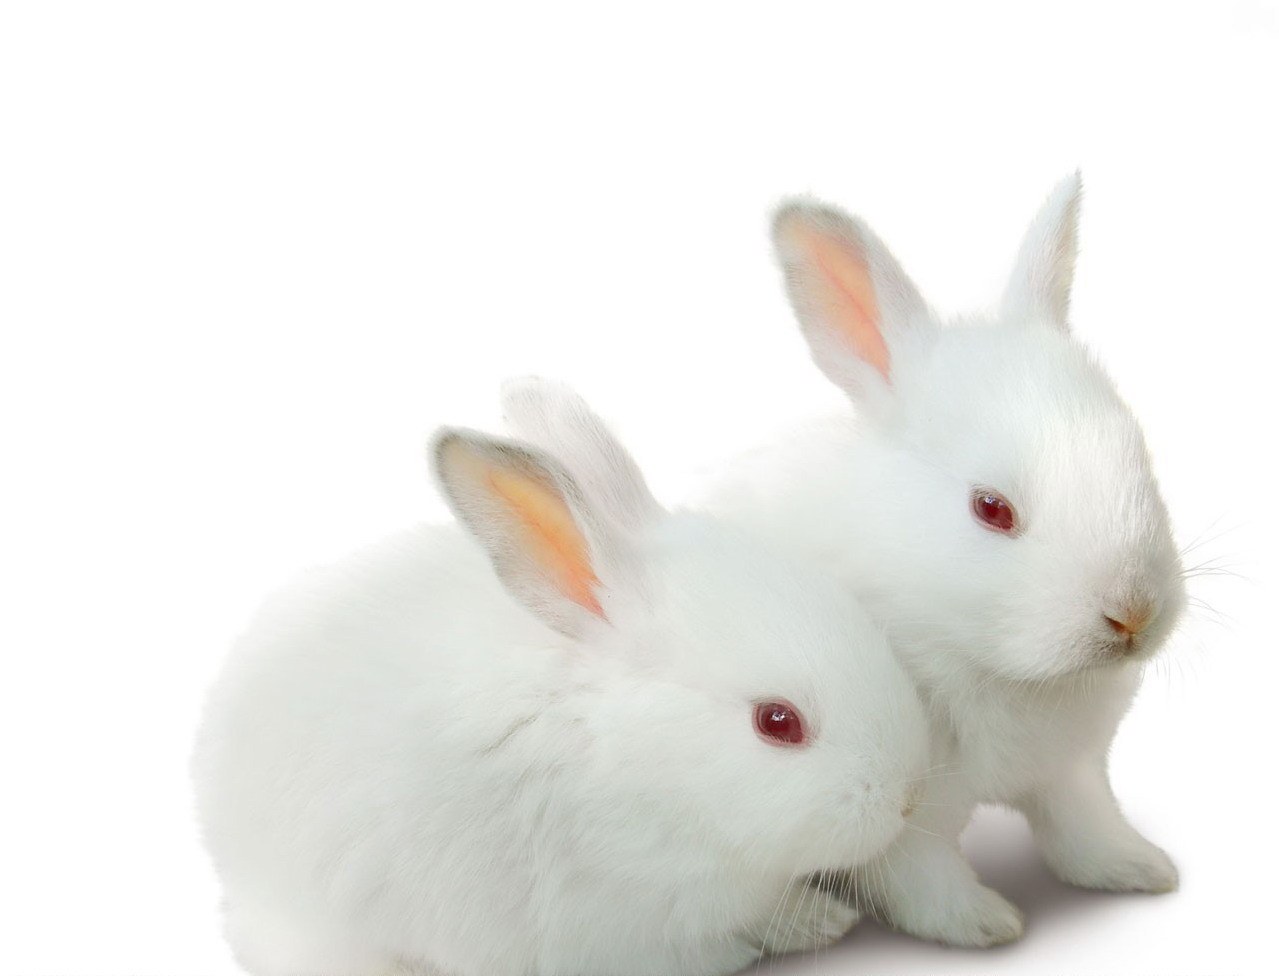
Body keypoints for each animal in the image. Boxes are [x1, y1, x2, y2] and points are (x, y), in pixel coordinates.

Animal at [679, 174, 1189, 948]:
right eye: (991, 508)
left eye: (1140, 458)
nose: (1132, 613)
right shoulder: (901, 818)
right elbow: (922, 879)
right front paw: (986, 926)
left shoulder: (1070, 772)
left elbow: (1084, 830)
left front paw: (1141, 870)